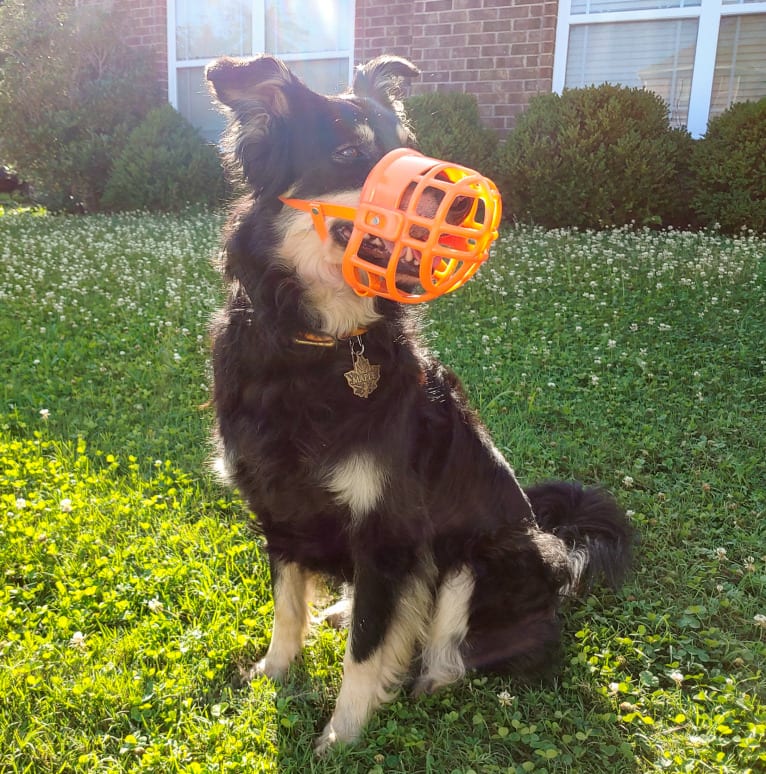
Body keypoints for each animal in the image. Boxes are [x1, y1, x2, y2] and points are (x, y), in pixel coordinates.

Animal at [207, 51, 632, 756]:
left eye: (407, 147)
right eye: (350, 153)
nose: (464, 205)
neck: (319, 345)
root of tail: (560, 558)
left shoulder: (389, 530)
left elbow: (367, 648)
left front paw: (341, 737)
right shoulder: (276, 510)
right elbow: (288, 611)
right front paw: (272, 675)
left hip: (474, 558)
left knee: (448, 652)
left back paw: (427, 680)